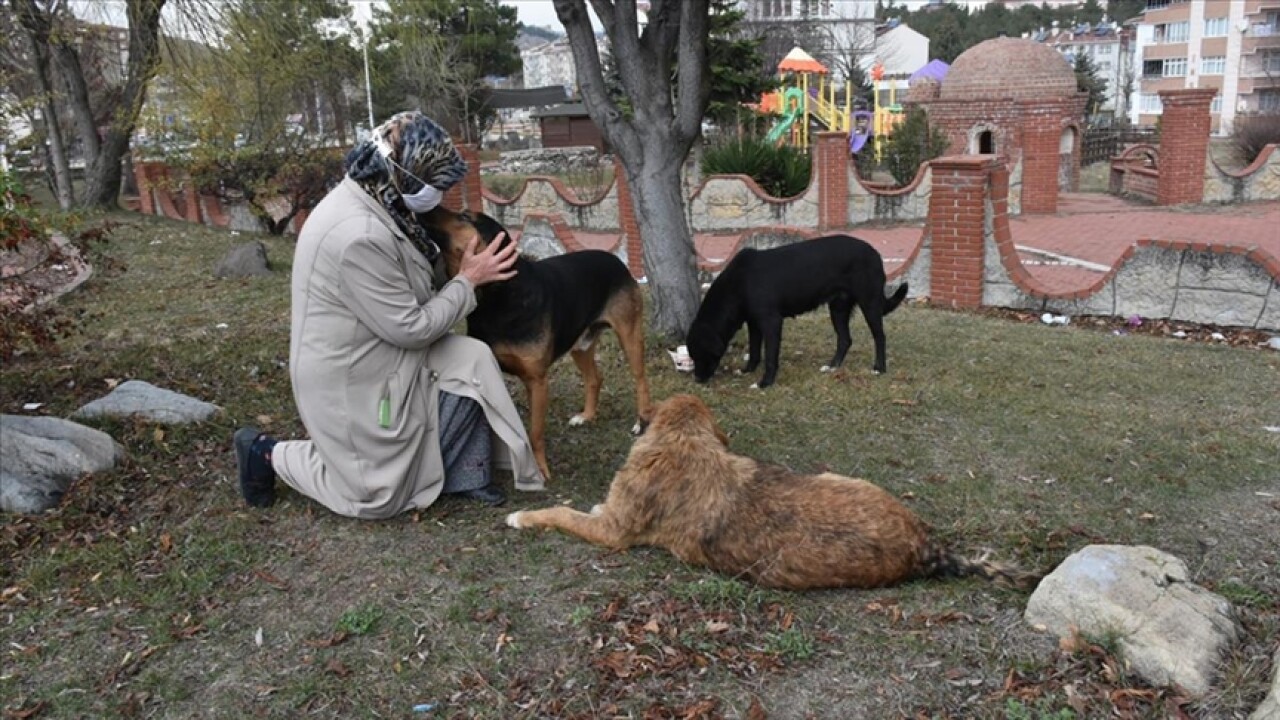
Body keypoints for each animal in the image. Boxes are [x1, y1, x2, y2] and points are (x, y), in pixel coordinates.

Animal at [419, 204, 655, 479]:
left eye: (466, 216)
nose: (426, 207)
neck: (498, 295)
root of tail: (616, 260)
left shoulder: (537, 381)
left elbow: (535, 432)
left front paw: (540, 469)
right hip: (580, 343)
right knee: (595, 378)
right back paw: (586, 416)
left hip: (629, 334)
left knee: (640, 379)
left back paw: (641, 422)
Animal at [504, 392, 1034, 589]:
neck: (683, 443)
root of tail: (924, 547)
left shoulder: (614, 534)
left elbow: (562, 513)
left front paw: (523, 517)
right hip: (831, 476)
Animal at [686, 235, 906, 386]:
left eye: (700, 354)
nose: (697, 379)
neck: (739, 283)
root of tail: (875, 252)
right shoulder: (754, 322)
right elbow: (755, 350)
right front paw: (748, 370)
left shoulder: (771, 321)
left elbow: (770, 356)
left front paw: (765, 383)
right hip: (838, 308)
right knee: (845, 339)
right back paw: (832, 366)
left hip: (869, 303)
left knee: (880, 336)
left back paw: (879, 368)